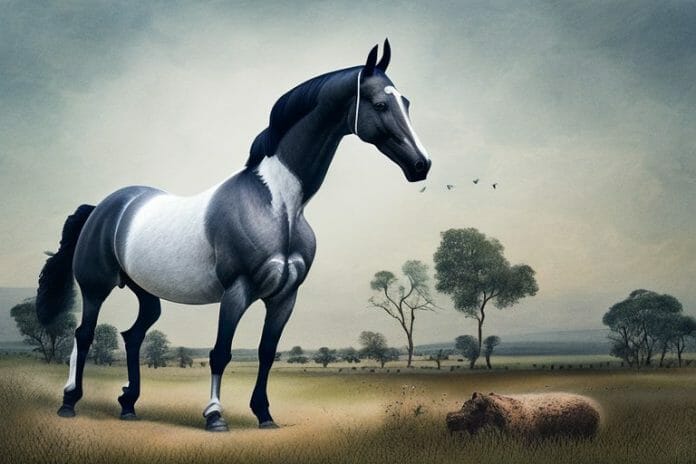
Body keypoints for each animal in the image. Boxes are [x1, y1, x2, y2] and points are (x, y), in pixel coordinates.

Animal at [36, 39, 431, 432]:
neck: (278, 205)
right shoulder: (236, 291)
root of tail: (104, 207)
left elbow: (266, 353)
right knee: (83, 335)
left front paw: (264, 414)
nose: (421, 165)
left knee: (133, 336)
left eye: (407, 102)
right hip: (96, 287)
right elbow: (220, 353)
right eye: (380, 104)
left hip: (146, 293)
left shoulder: (285, 297)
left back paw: (129, 405)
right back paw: (69, 402)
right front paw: (215, 416)